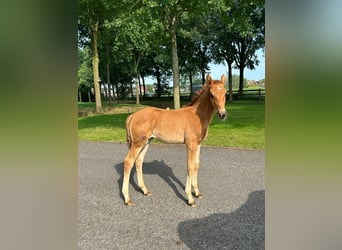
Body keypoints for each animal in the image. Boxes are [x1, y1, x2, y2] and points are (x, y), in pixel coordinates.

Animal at [123, 73, 227, 207]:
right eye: (211, 95)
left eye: (225, 93)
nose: (222, 114)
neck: (197, 116)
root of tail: (132, 116)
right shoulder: (190, 145)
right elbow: (190, 167)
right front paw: (190, 198)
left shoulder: (198, 144)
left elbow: (196, 165)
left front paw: (197, 192)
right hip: (137, 143)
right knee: (128, 162)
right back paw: (127, 198)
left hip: (146, 142)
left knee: (138, 161)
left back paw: (145, 190)